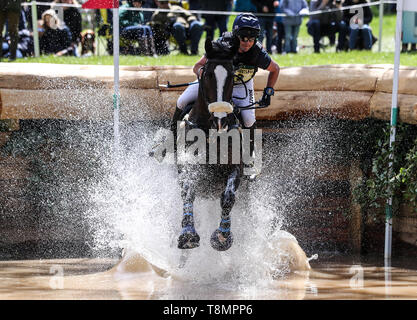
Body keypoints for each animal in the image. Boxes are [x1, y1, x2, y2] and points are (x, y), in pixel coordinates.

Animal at [173, 38, 242, 251]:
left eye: (232, 76)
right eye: (208, 74)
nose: (220, 120)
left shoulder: (236, 167)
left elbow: (228, 197)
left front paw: (222, 237)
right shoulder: (187, 165)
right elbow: (188, 191)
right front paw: (188, 234)